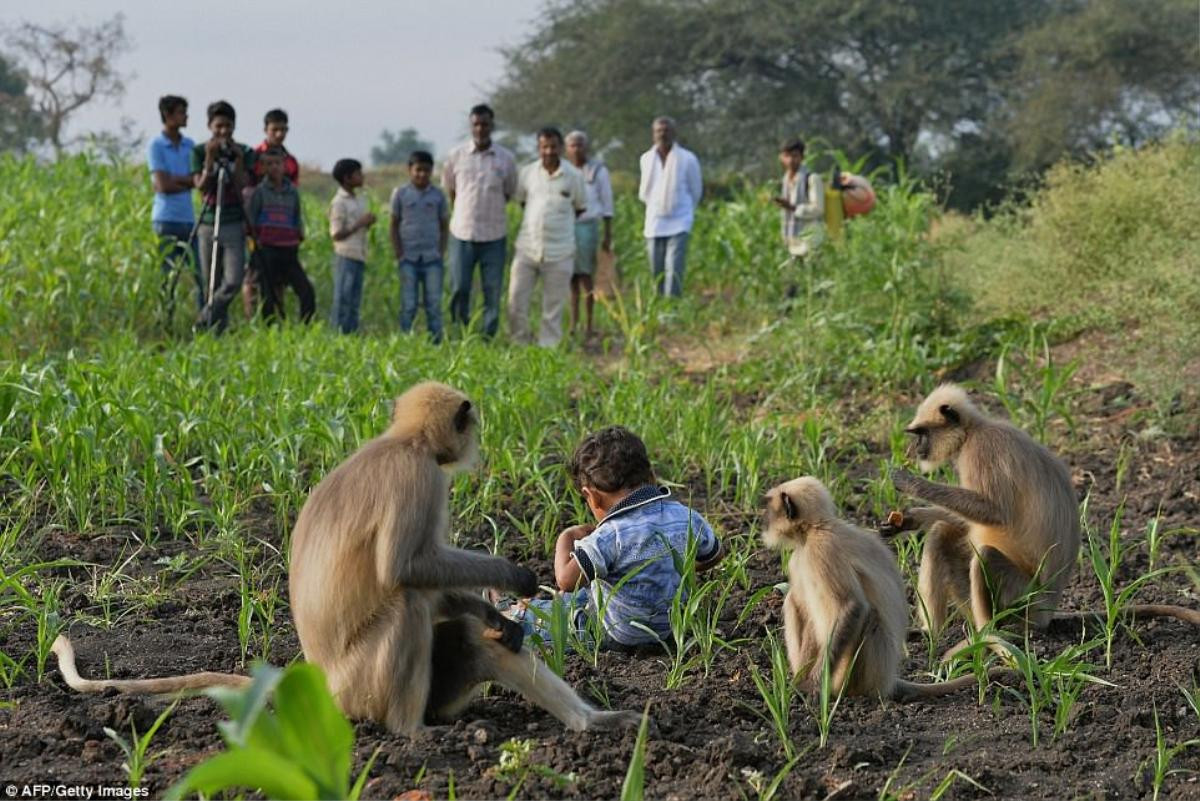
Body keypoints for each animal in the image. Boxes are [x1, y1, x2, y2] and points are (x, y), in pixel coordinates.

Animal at [763, 474, 1008, 700]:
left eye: (768, 507)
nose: (763, 521)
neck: (817, 527)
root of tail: (887, 680)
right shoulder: (800, 557)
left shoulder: (822, 549)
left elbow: (852, 607)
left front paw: (812, 684)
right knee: (795, 601)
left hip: (859, 674)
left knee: (868, 615)